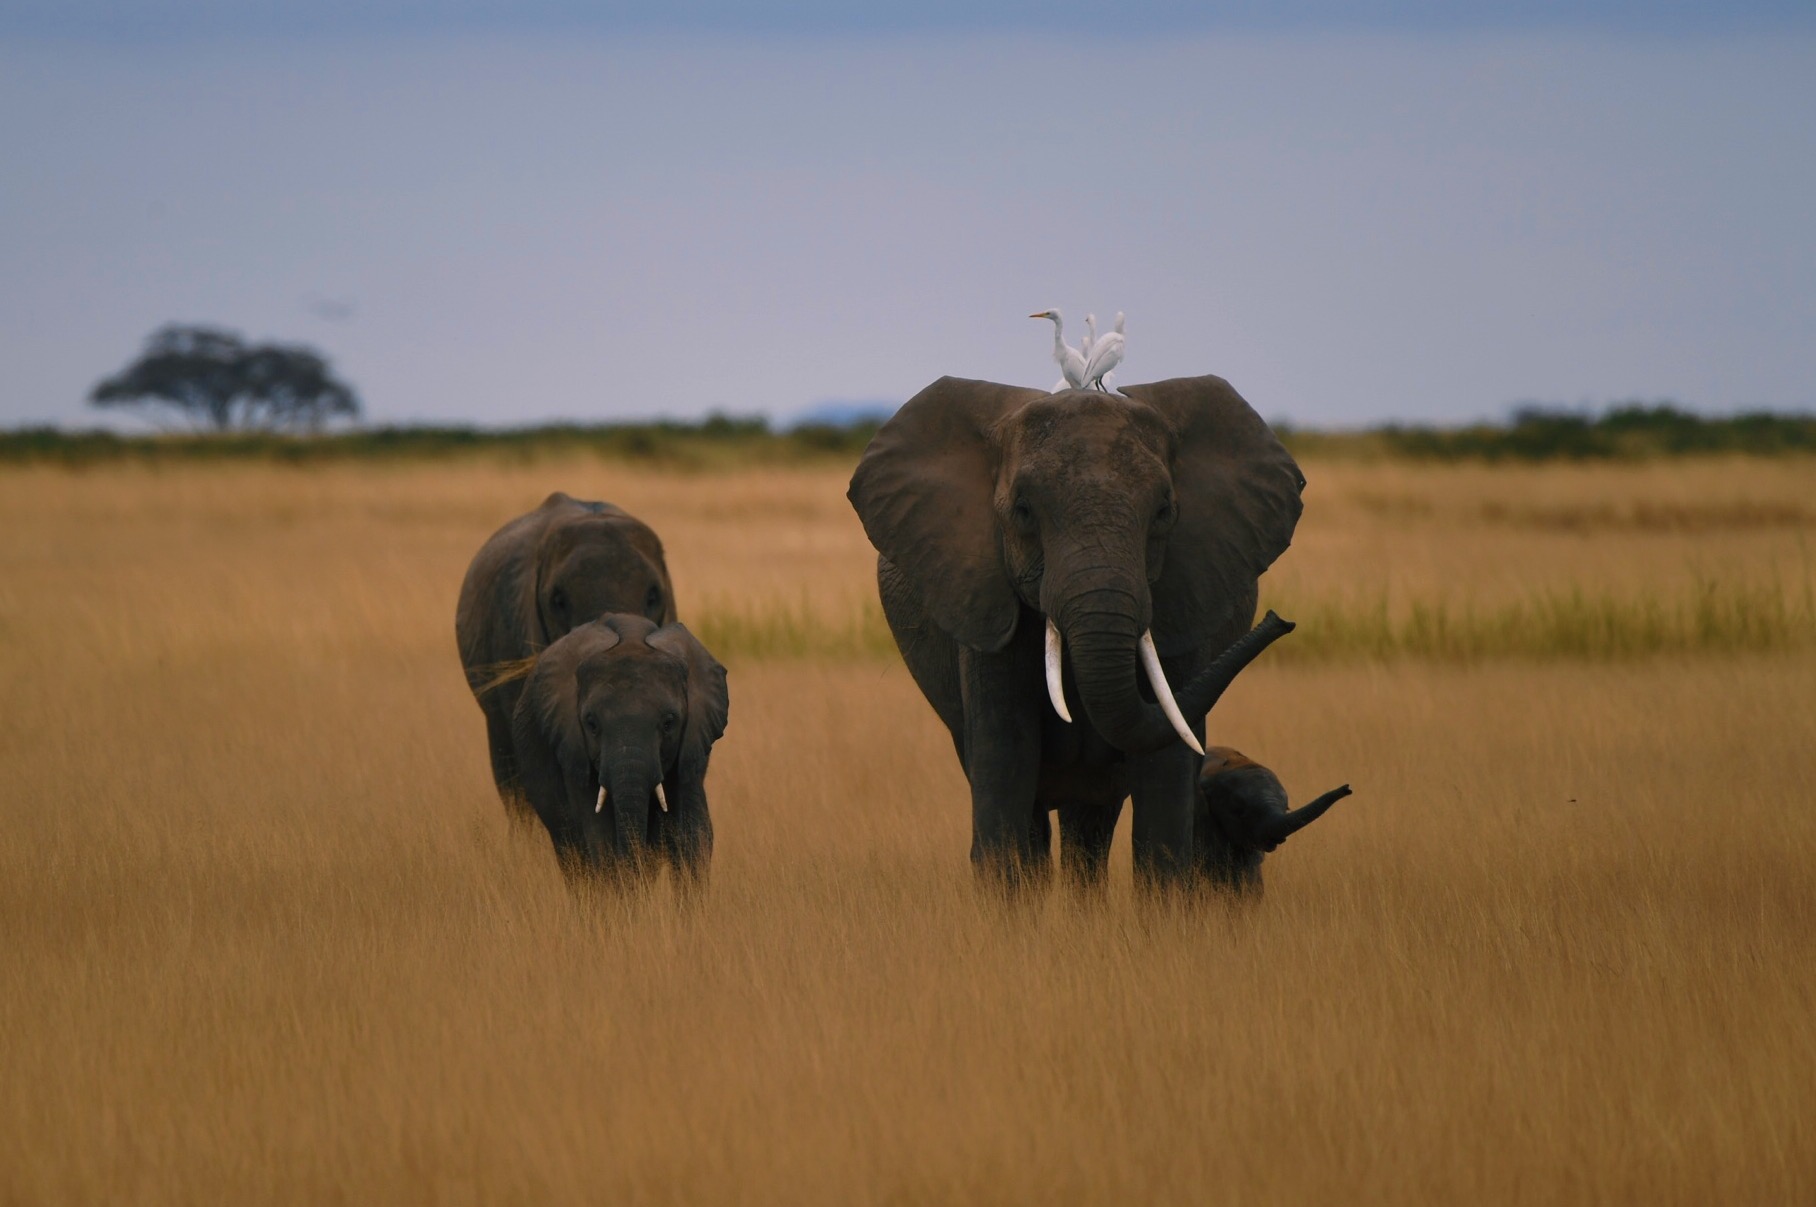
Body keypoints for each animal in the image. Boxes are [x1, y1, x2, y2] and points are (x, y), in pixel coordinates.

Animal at [508, 617, 726, 882]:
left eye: (669, 723)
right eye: (591, 724)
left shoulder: (692, 750)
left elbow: (692, 833)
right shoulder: (573, 750)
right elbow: (600, 838)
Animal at [849, 377, 1307, 892]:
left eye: (1164, 512)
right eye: (1023, 511)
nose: (1281, 621)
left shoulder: (1183, 601)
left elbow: (1163, 788)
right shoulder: (984, 602)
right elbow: (1005, 759)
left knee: (1091, 821)